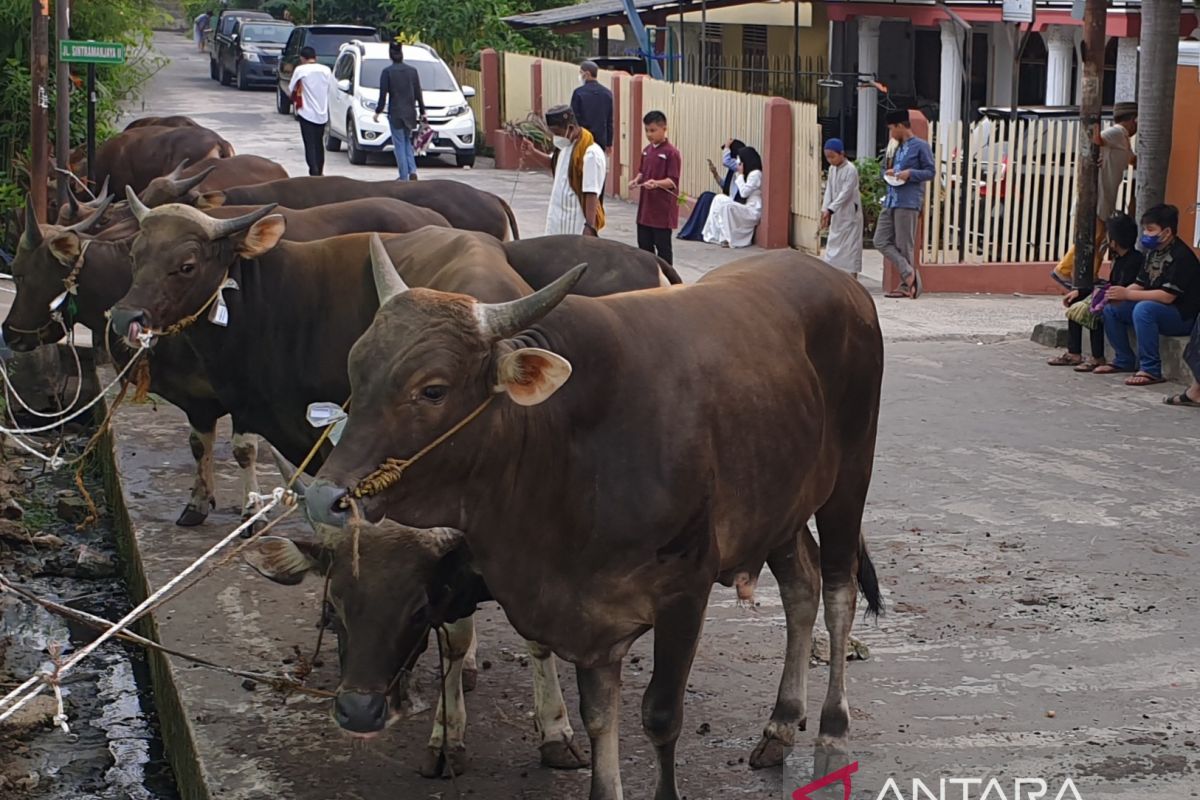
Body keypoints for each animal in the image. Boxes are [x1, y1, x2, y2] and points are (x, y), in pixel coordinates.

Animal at [300, 244, 883, 800]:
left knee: (838, 592)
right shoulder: (586, 617)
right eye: (356, 372)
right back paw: (781, 725)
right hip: (782, 505)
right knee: (801, 586)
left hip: (849, 482)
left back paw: (832, 732)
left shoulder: (684, 594)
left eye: (433, 389)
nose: (327, 497)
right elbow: (600, 718)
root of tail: (840, 283)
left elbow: (660, 717)